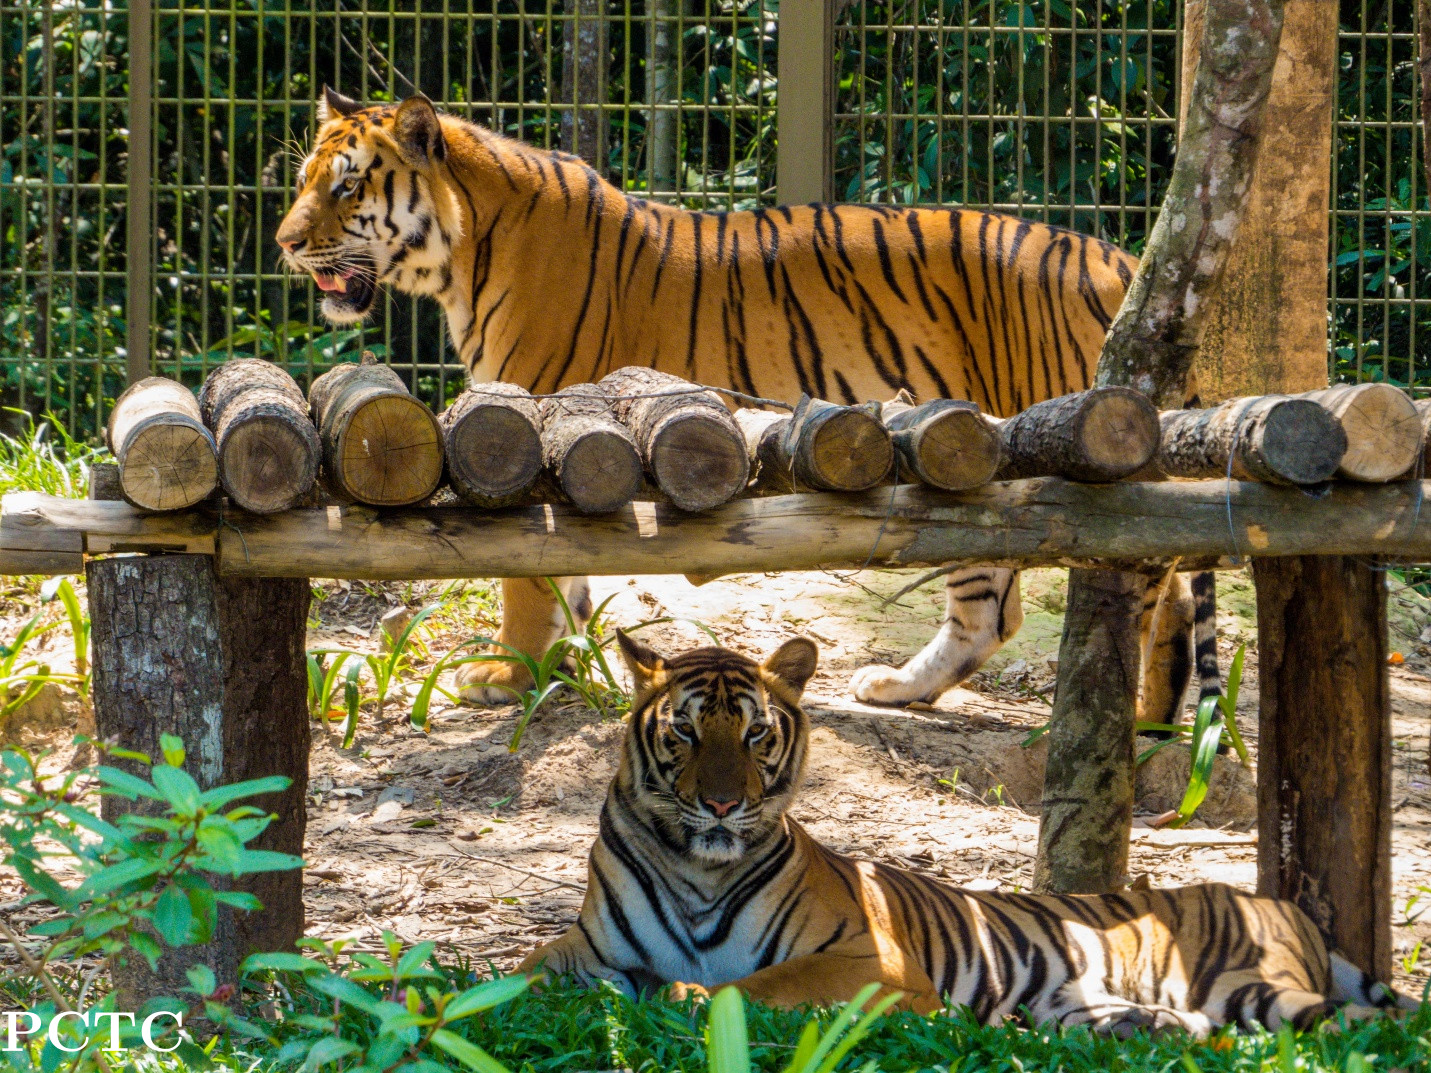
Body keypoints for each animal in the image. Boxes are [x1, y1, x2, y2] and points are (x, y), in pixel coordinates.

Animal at [274, 87, 1202, 722]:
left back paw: (1130, 723)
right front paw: (566, 668)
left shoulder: (531, 419)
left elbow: (527, 575)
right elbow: (569, 575)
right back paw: (903, 687)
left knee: (1149, 584)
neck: (463, 251)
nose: (283, 242)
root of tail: (1120, 259)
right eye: (305, 181)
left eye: (347, 189)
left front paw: (508, 673)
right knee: (994, 607)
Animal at [517, 632, 1414, 1033]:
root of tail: (1282, 903)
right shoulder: (580, 950)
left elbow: (752, 985)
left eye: (754, 734)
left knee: (1364, 1023)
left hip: (1246, 981)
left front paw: (681, 994)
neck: (699, 869)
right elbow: (513, 980)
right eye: (684, 732)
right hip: (1085, 1004)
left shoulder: (868, 960)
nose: (720, 805)